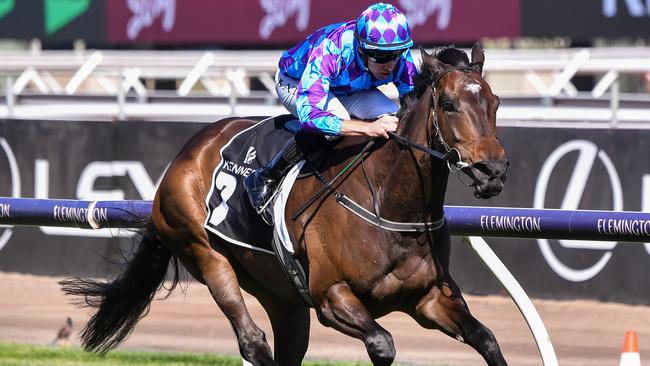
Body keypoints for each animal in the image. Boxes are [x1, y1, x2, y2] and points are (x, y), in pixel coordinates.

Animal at [60, 44, 506, 364]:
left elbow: (487, 339)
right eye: (449, 105)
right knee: (253, 341)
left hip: (281, 294)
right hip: (206, 255)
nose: (493, 170)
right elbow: (382, 343)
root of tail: (185, 154)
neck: (390, 204)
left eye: (495, 103)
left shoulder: (429, 298)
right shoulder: (331, 296)